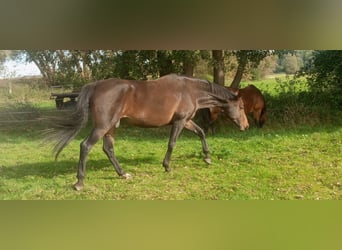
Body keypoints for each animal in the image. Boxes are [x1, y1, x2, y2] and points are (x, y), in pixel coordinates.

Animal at [46, 73, 248, 189]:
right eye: (241, 106)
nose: (246, 126)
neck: (190, 91)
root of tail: (95, 86)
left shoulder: (187, 121)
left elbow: (201, 133)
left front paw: (207, 158)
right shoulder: (179, 121)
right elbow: (172, 143)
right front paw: (167, 166)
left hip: (111, 127)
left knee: (108, 149)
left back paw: (123, 174)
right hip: (102, 126)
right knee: (85, 146)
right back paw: (79, 183)